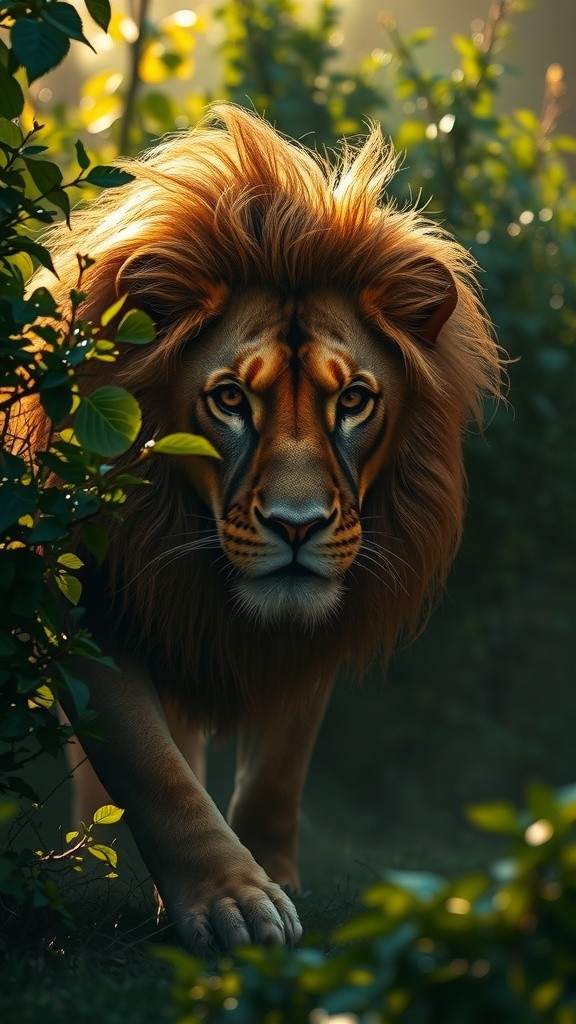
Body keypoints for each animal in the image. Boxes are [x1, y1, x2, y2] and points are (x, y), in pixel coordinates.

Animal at [19, 105, 501, 949]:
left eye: (354, 401)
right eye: (231, 400)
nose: (298, 528)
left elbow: (278, 771)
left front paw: (272, 876)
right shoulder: (94, 608)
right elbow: (155, 768)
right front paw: (231, 901)